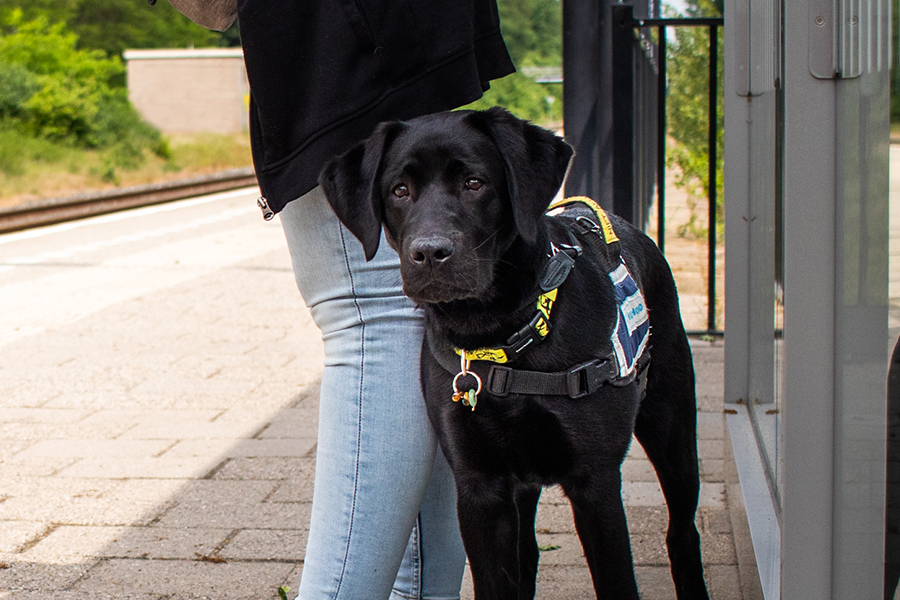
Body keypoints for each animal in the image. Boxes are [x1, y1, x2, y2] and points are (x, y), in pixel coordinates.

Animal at [320, 108, 708, 600]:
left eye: (475, 183)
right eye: (399, 190)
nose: (429, 252)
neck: (505, 336)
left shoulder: (596, 484)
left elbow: (617, 581)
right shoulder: (480, 487)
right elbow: (497, 580)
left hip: (671, 427)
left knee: (682, 530)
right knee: (528, 555)